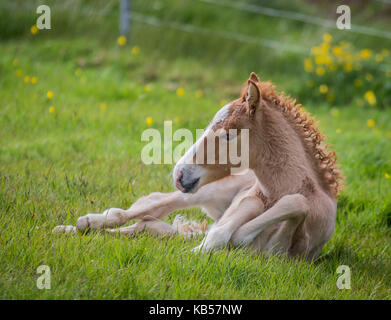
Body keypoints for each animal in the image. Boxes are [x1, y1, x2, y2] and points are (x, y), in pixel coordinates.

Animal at [52, 72, 344, 260]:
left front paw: (202, 249)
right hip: (207, 190)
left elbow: (292, 206)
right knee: (151, 205)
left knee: (150, 225)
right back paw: (80, 224)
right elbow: (223, 233)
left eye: (228, 134)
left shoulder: (288, 254)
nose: (179, 174)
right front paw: (197, 253)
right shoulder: (247, 200)